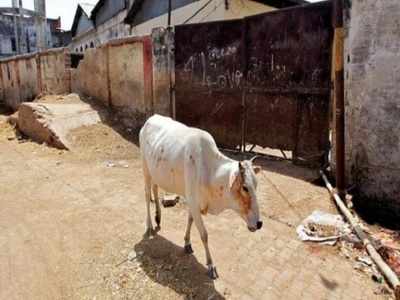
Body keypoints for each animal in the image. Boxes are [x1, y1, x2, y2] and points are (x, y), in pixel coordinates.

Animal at [139, 114, 264, 278]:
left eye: (256, 185)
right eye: (245, 187)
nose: (259, 223)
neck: (209, 171)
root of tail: (151, 118)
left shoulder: (194, 202)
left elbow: (190, 220)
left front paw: (187, 243)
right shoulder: (192, 200)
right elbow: (204, 234)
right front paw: (210, 265)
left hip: (156, 172)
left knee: (155, 188)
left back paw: (158, 217)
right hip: (145, 169)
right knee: (147, 195)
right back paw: (149, 225)